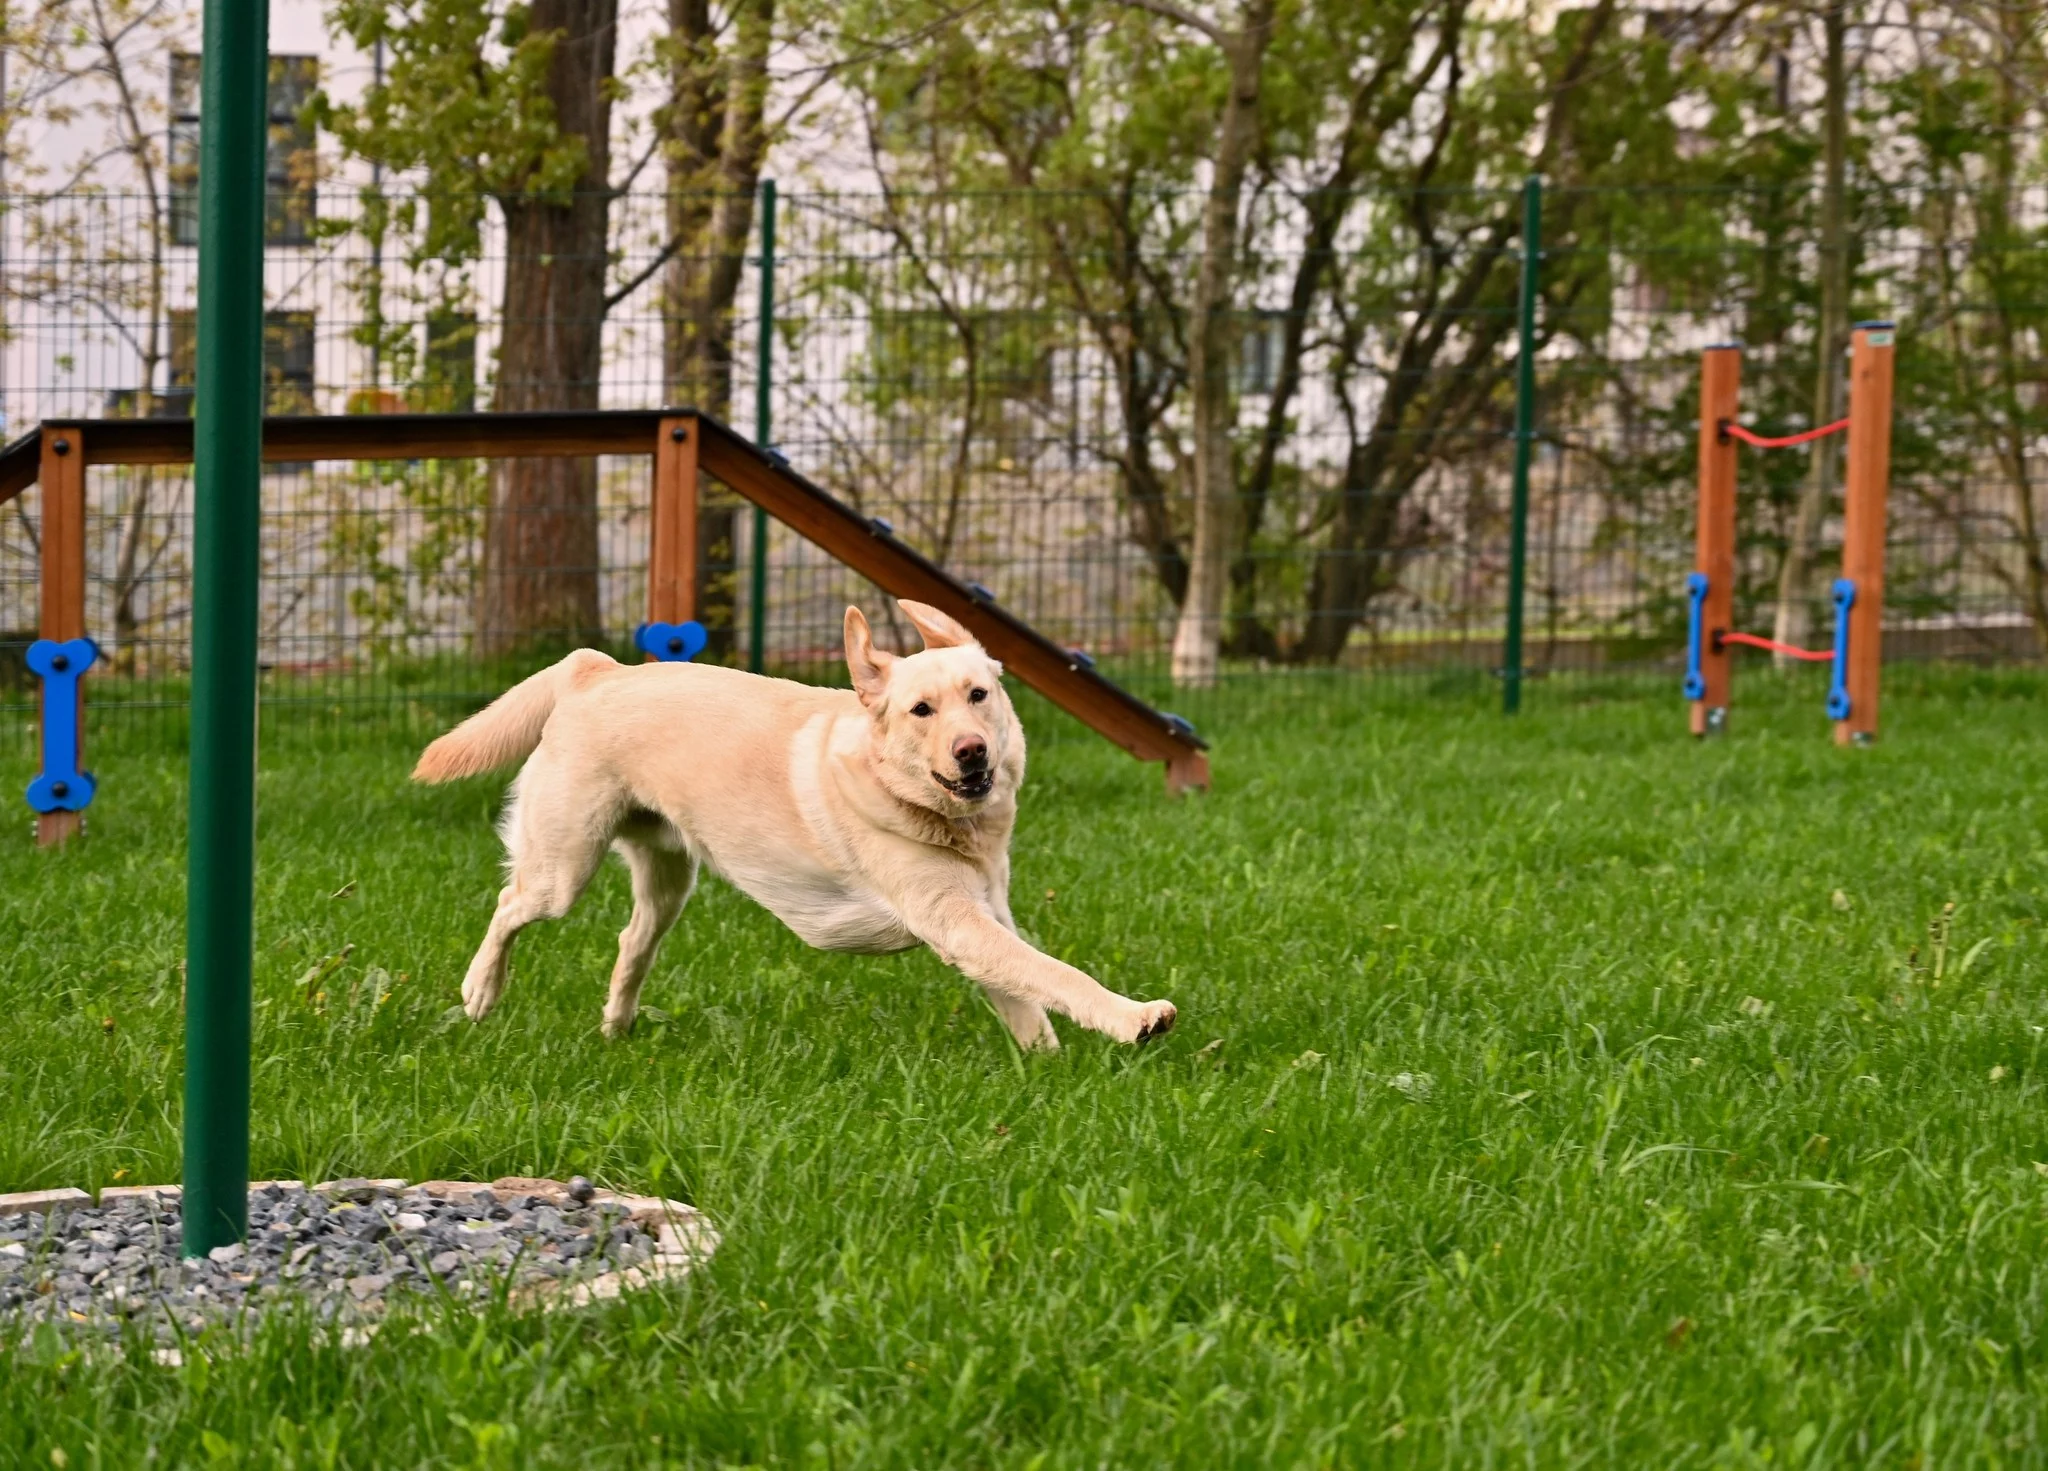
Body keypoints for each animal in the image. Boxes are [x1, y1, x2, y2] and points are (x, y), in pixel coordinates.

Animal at [411, 598, 1187, 1048]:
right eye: (921, 710)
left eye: (979, 694)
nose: (973, 752)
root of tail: (596, 670)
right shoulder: (958, 922)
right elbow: (1054, 973)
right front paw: (1133, 1018)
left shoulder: (982, 917)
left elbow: (1026, 992)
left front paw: (1046, 1065)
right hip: (563, 868)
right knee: (510, 903)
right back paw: (479, 994)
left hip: (670, 880)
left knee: (631, 940)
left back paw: (617, 1026)